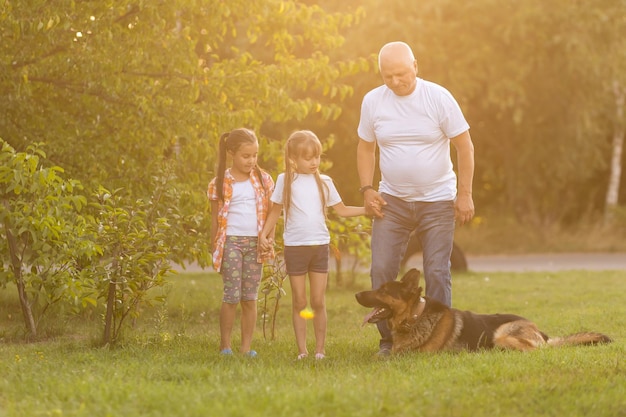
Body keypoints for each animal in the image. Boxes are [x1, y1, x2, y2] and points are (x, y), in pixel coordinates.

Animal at [356, 268, 608, 352]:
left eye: (383, 290)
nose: (356, 295)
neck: (416, 316)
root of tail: (541, 333)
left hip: (501, 335)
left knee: (534, 351)